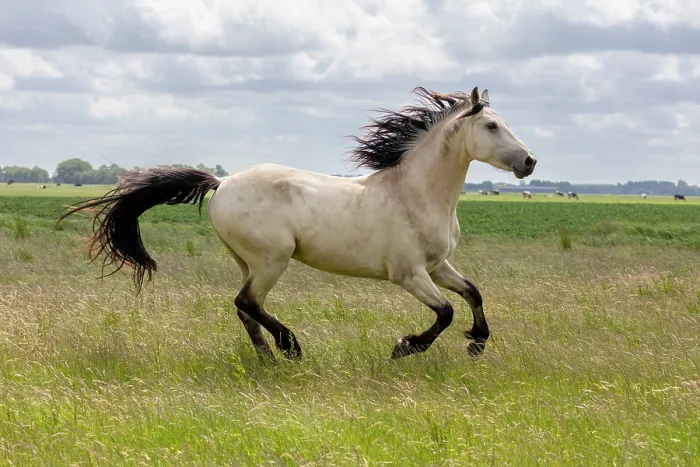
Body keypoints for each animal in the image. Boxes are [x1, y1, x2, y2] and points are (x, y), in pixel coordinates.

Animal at [58, 86, 537, 362]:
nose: (529, 162)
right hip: (273, 259)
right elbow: (445, 312)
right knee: (247, 302)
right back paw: (290, 348)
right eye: (491, 125)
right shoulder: (409, 274)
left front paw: (477, 343)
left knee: (243, 307)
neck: (415, 193)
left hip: (249, 261)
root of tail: (221, 182)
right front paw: (405, 347)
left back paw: (267, 359)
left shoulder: (437, 266)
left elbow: (472, 293)